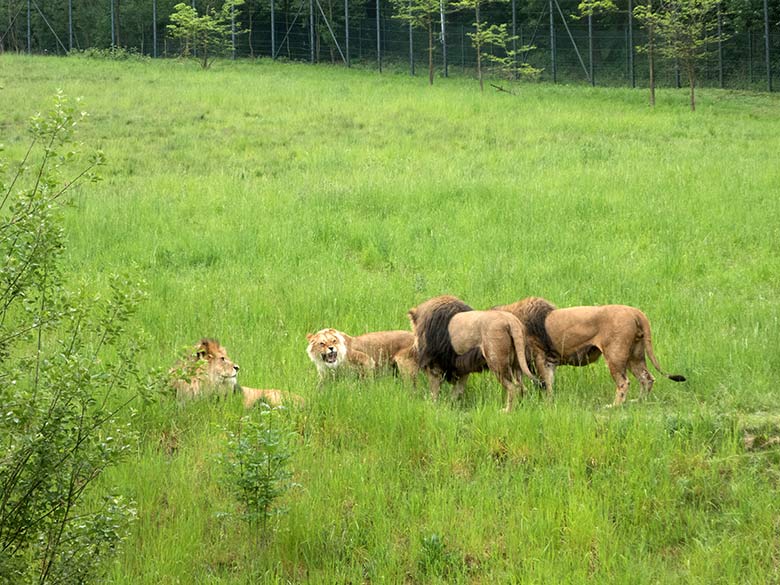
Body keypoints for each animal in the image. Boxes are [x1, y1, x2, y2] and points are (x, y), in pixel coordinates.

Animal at [408, 292, 536, 410]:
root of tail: (511, 321)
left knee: (513, 387)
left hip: (497, 363)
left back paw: (506, 411)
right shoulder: (462, 368)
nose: (413, 348)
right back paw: (522, 408)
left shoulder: (435, 366)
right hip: (517, 364)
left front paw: (434, 406)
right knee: (522, 387)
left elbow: (435, 391)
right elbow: (458, 391)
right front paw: (452, 406)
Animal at [496, 296, 684, 406]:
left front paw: (547, 404)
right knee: (647, 378)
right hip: (634, 356)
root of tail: (636, 312)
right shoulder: (549, 360)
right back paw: (638, 402)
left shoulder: (542, 357)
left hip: (615, 355)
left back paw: (615, 406)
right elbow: (547, 382)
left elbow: (546, 383)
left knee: (624, 382)